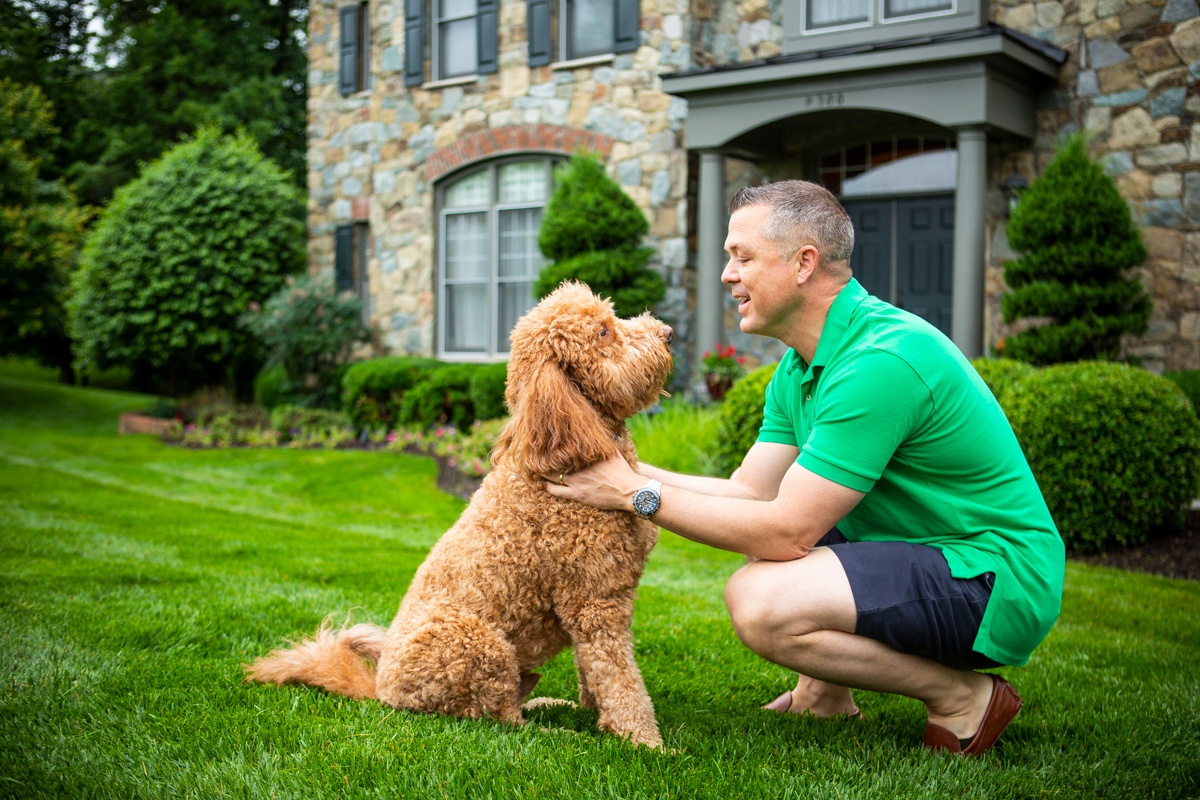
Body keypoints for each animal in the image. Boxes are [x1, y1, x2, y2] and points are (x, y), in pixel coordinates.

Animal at [243, 281, 676, 753]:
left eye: (610, 318)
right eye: (602, 332)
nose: (668, 332)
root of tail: (380, 690)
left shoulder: (595, 603)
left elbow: (592, 671)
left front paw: (597, 716)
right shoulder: (595, 603)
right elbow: (621, 681)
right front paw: (646, 743)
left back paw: (549, 705)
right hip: (479, 644)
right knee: (500, 717)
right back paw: (555, 731)